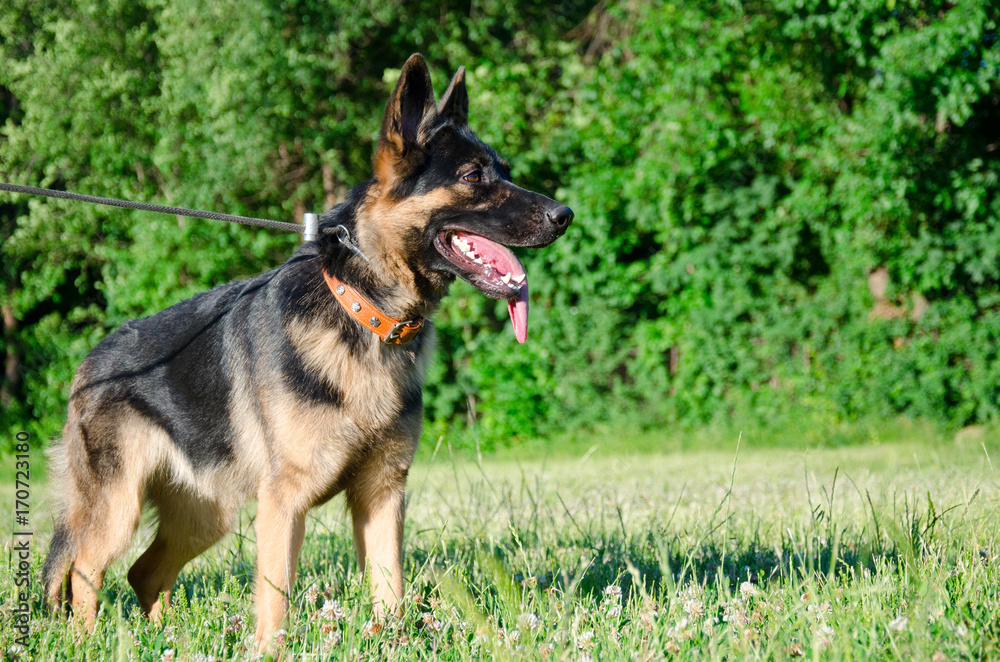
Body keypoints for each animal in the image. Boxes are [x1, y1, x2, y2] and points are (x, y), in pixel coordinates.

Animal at [41, 55, 572, 648]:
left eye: (503, 170)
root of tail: (89, 362)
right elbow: (275, 601)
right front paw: (270, 651)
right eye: (474, 177)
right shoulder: (283, 504)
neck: (364, 313)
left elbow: (390, 591)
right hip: (120, 509)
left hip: (207, 515)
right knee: (85, 570)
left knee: (144, 572)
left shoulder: (382, 496)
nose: (565, 214)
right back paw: (88, 642)